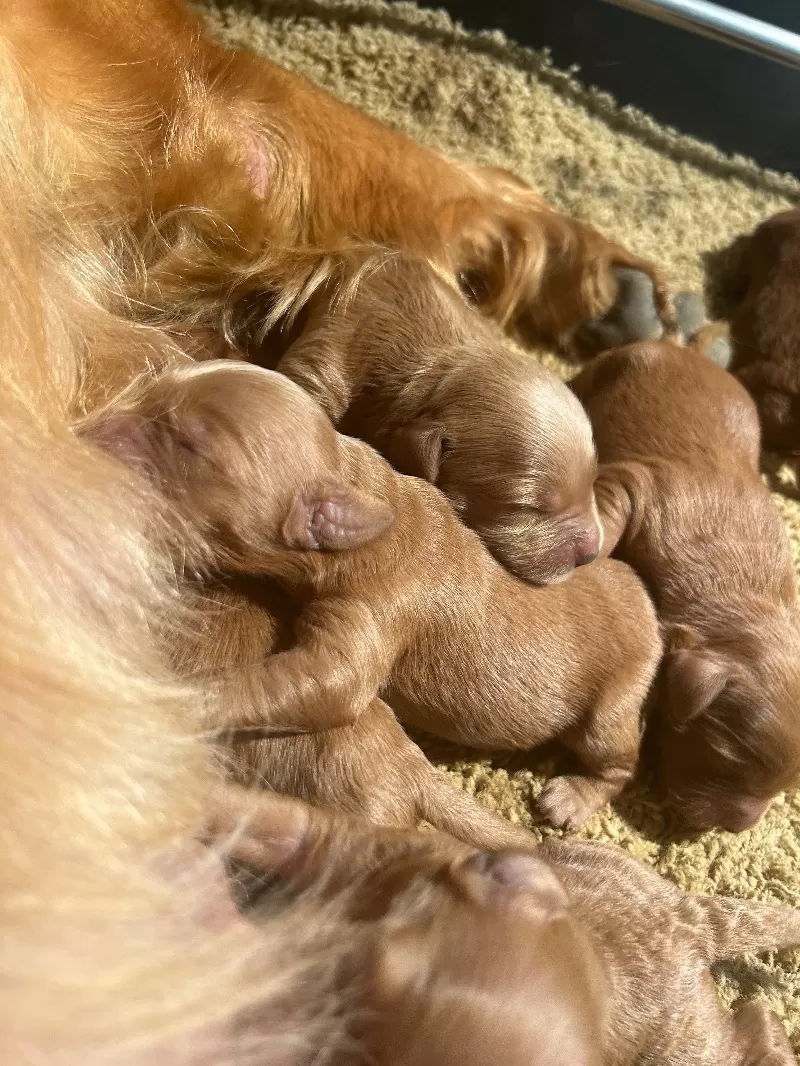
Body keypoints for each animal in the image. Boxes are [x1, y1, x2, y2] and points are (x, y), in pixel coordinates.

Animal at [86, 360, 665, 831]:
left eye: (188, 445)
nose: (93, 428)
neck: (366, 495)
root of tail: (643, 594)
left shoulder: (372, 613)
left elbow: (332, 683)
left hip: (615, 700)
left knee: (619, 758)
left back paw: (573, 797)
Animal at [571, 341, 800, 831]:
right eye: (725, 756)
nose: (736, 828)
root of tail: (686, 350)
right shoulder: (641, 487)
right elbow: (608, 517)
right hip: (608, 368)